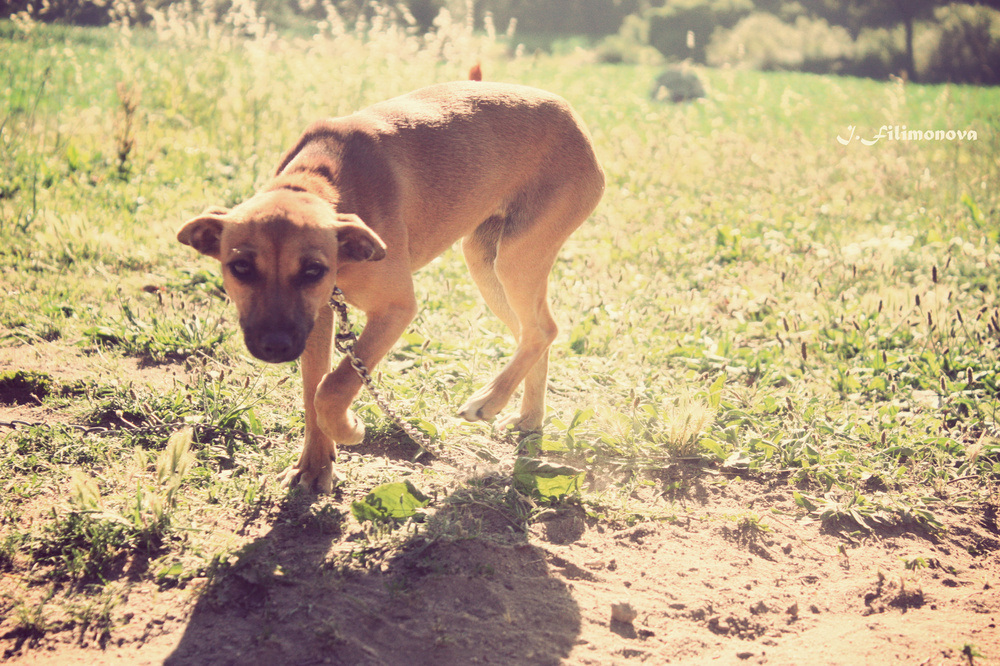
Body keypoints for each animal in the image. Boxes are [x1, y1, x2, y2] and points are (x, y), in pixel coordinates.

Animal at [176, 79, 604, 492]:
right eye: (241, 267)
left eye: (314, 270)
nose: (275, 347)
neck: (319, 182)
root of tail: (574, 119)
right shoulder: (318, 318)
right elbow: (313, 390)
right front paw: (314, 467)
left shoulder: (395, 308)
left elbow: (333, 387)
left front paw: (348, 429)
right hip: (485, 261)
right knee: (534, 333)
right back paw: (526, 417)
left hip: (515, 256)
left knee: (542, 329)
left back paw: (489, 399)